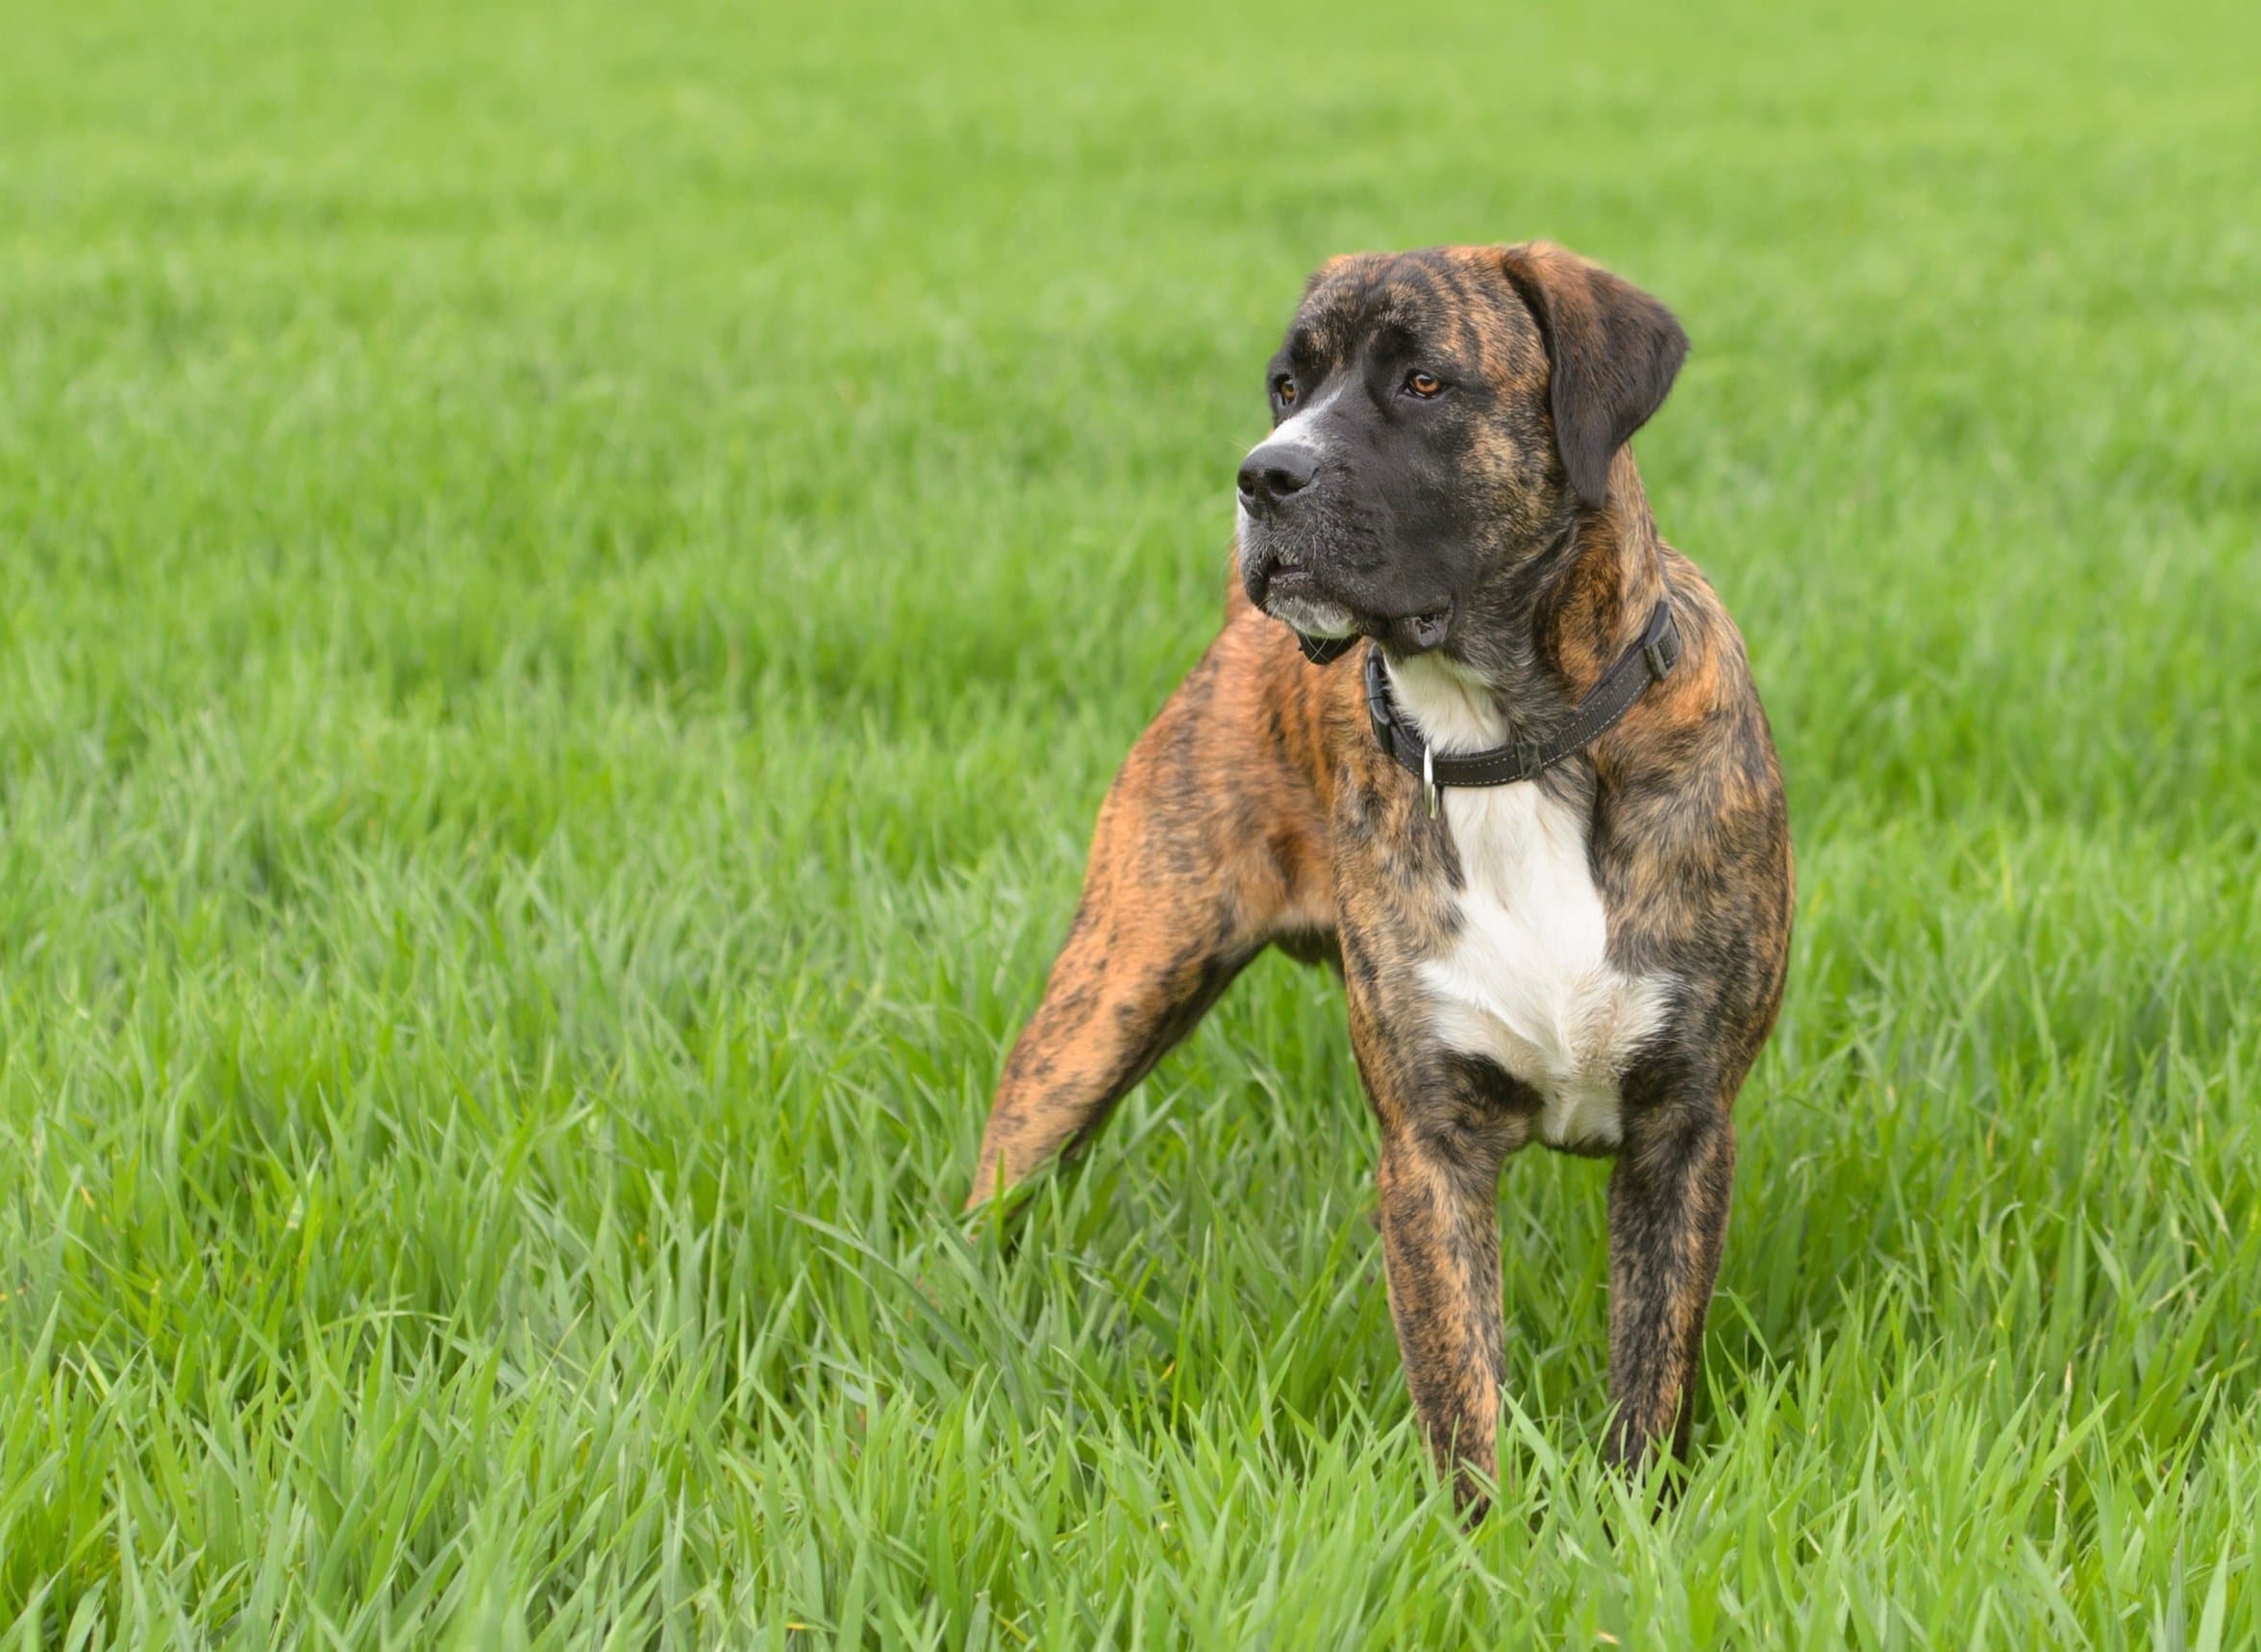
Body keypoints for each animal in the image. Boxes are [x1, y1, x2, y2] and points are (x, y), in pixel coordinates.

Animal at [962, 241, 1790, 1509]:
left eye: (1425, 383)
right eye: (1285, 385)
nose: (1264, 476)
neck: (1507, 744)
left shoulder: (1682, 1133)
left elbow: (1649, 1385)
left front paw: (1635, 1526)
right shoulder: (1430, 1153)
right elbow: (1462, 1400)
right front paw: (1484, 1542)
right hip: (1112, 994)